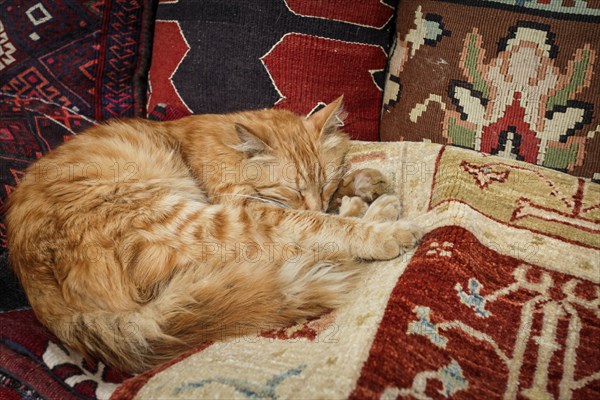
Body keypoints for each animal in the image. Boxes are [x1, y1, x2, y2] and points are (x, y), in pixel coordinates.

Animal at [5, 98, 422, 374]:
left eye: (325, 182)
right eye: (291, 188)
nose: (319, 200)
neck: (226, 152)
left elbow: (331, 204)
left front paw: (362, 182)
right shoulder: (255, 208)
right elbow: (319, 224)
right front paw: (373, 219)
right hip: (193, 218)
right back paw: (382, 218)